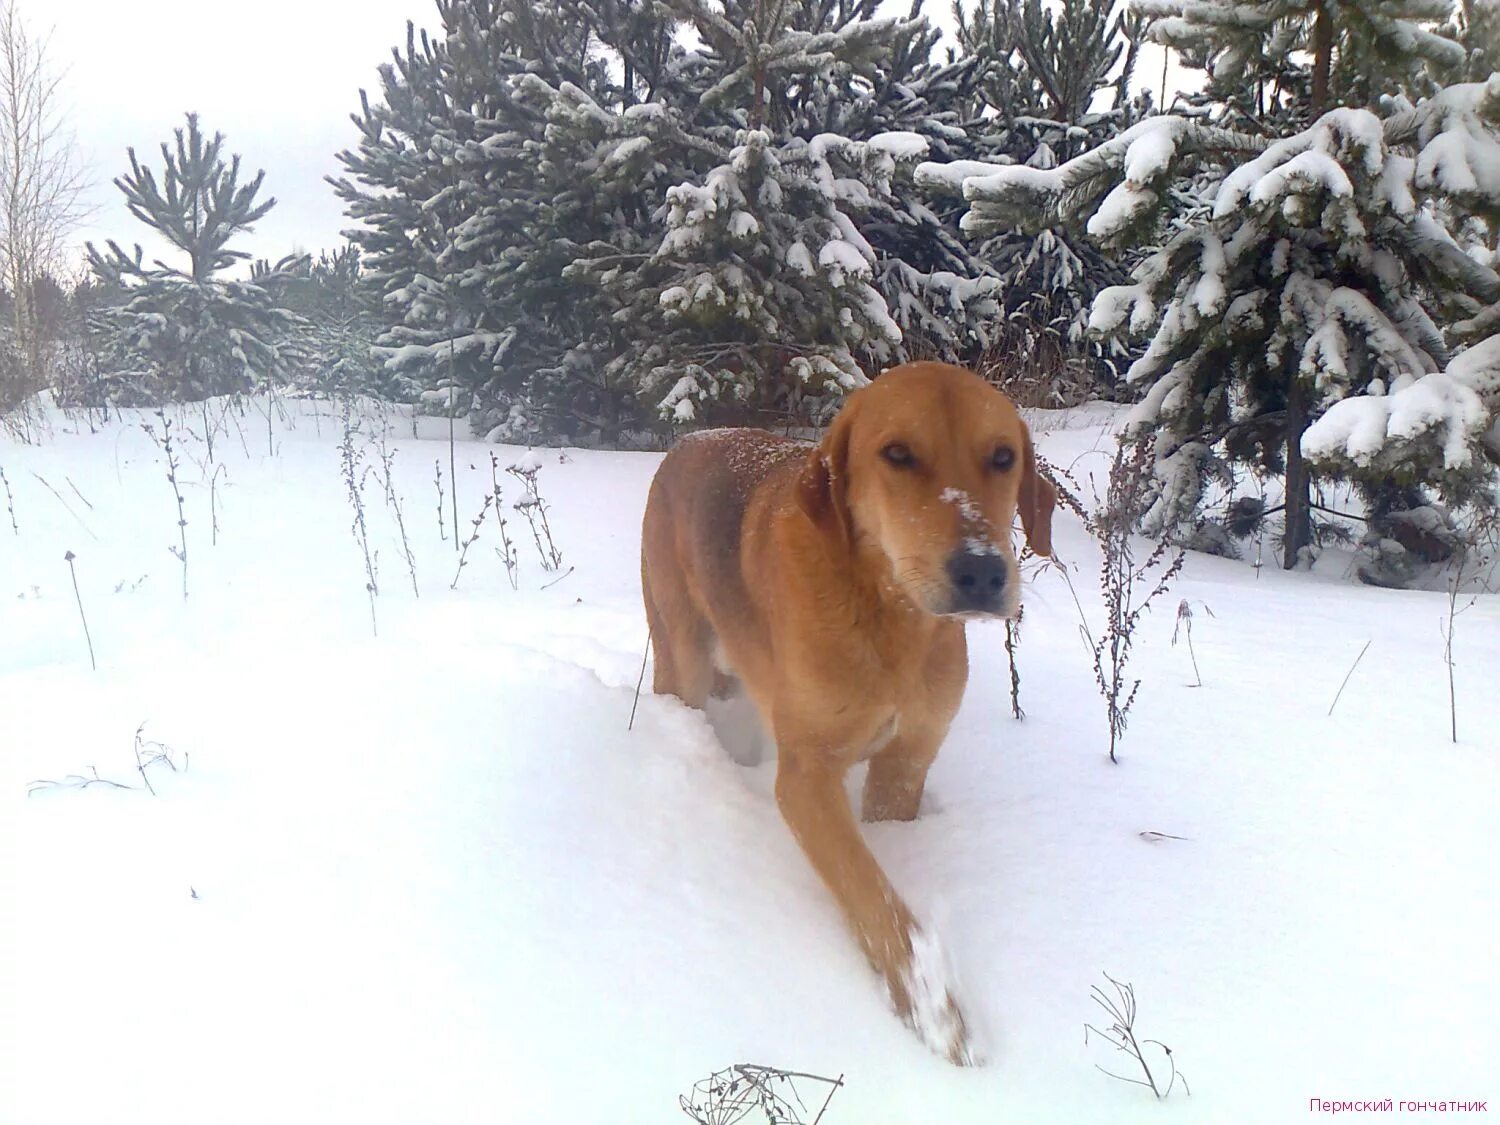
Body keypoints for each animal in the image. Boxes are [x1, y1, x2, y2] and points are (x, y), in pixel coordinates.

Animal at [642, 361, 1056, 1068]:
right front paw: (931, 1007)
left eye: (1003, 457)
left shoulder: (906, 762)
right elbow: (867, 887)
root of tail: (692, 436)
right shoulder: (806, 778)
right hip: (683, 656)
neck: (888, 616)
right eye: (898, 454)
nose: (980, 572)